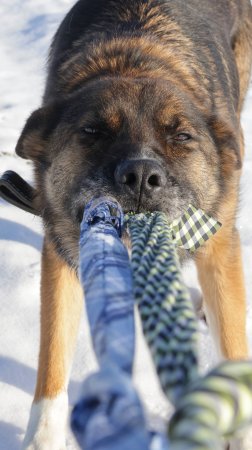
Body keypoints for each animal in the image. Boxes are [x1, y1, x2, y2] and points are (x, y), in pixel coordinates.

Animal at [15, 0, 252, 448]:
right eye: (92, 130)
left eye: (182, 137)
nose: (141, 176)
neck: (137, 58)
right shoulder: (62, 250)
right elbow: (52, 356)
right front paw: (42, 438)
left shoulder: (220, 243)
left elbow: (233, 339)